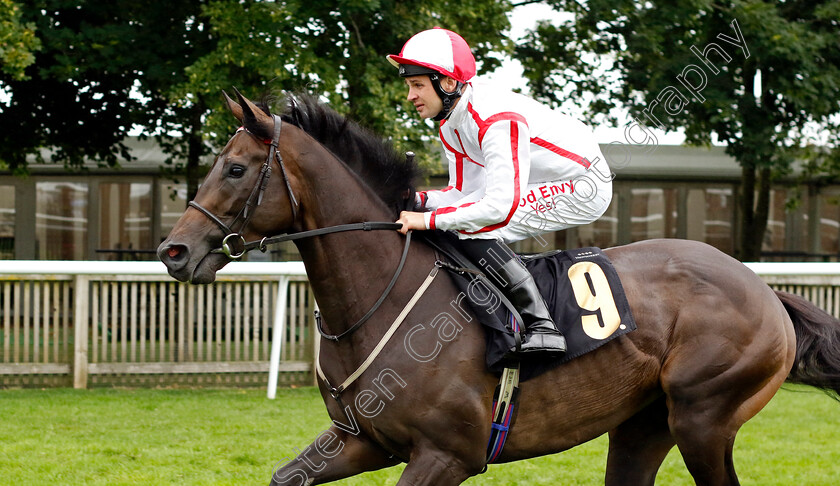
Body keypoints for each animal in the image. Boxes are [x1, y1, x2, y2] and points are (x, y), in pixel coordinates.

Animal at [158, 91, 840, 486]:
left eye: (236, 168)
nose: (174, 251)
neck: (378, 298)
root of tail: (763, 290)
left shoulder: (446, 454)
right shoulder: (363, 441)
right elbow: (286, 477)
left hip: (704, 417)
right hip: (644, 425)